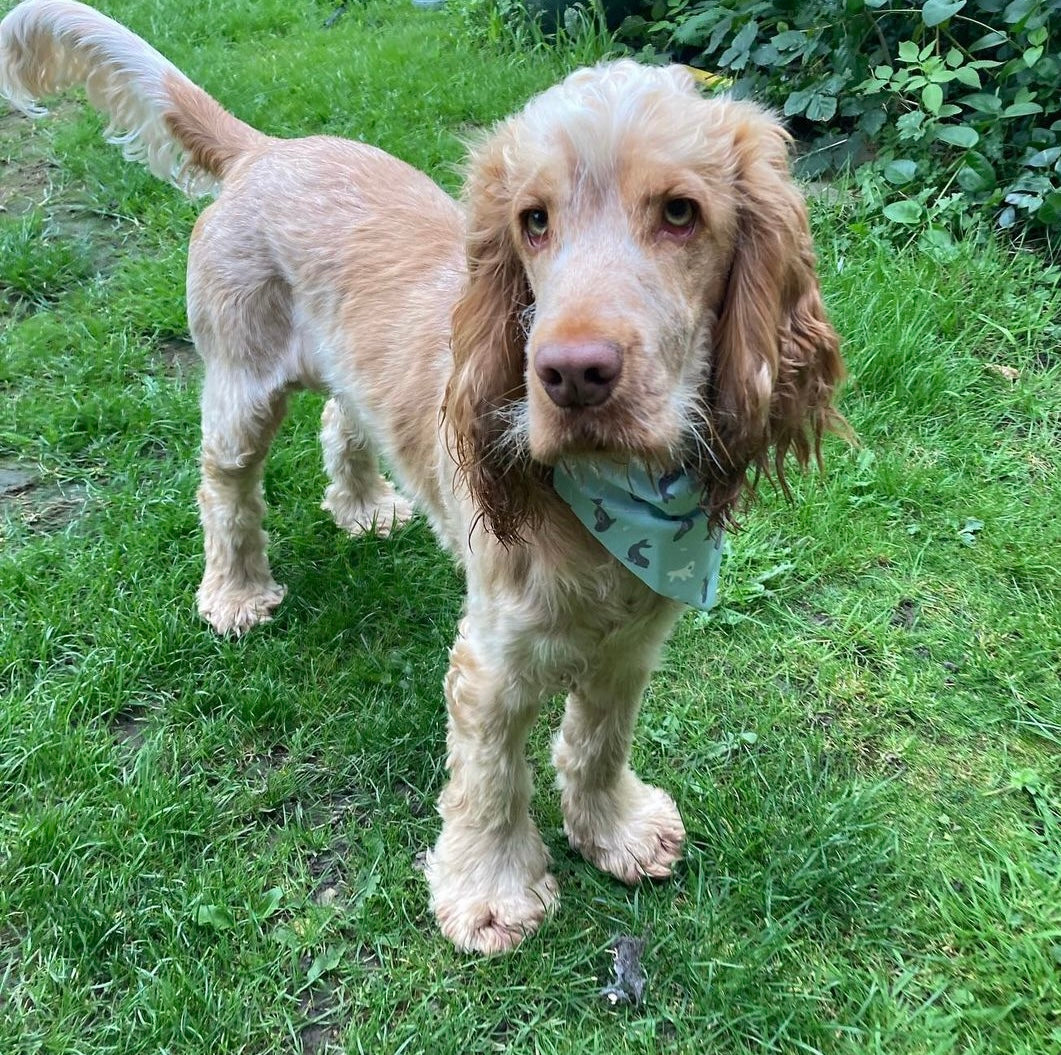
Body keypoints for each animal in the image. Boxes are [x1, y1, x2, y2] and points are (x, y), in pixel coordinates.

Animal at [2, 0, 844, 955]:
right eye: (532, 220)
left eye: (679, 213)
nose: (569, 374)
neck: (615, 499)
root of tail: (264, 149)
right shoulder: (492, 659)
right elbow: (490, 781)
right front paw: (489, 893)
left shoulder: (631, 640)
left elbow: (596, 742)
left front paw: (616, 831)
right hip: (240, 386)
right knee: (225, 490)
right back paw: (236, 592)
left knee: (342, 419)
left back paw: (365, 506)